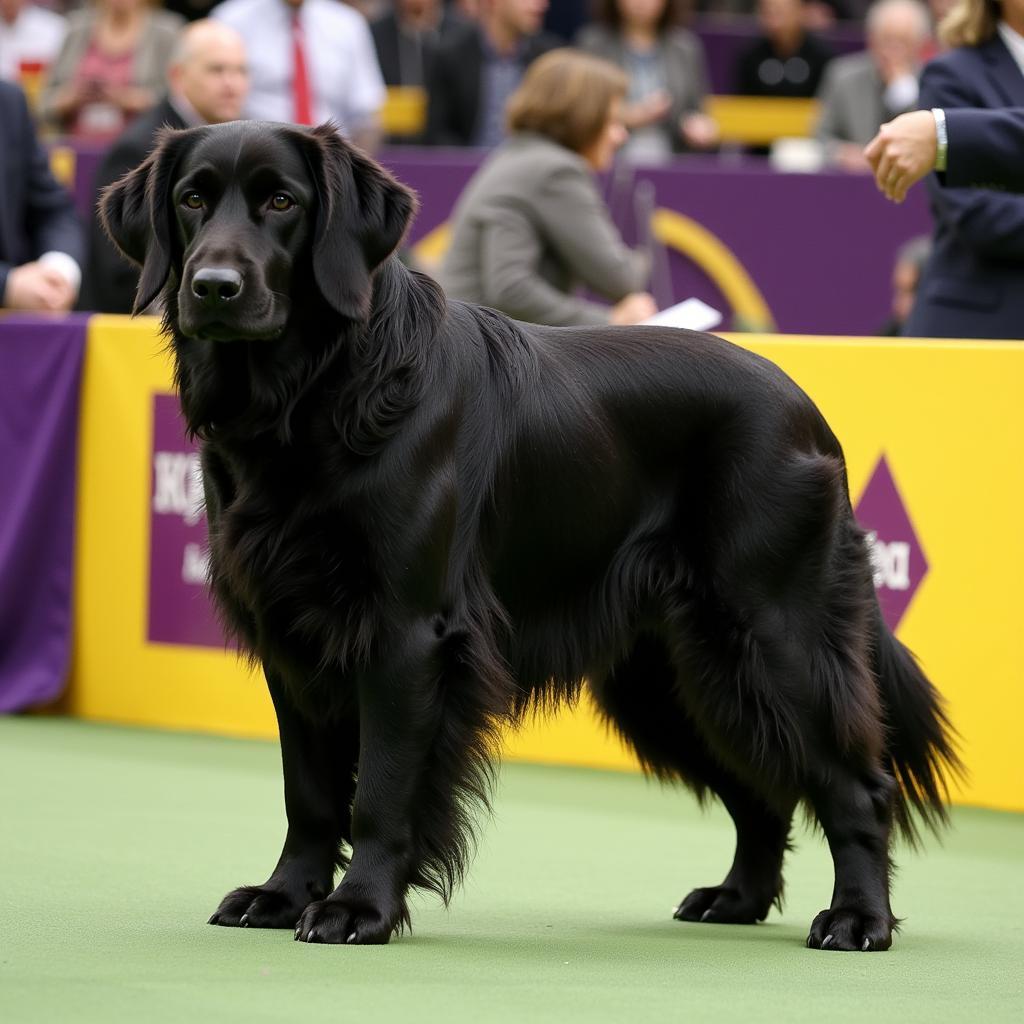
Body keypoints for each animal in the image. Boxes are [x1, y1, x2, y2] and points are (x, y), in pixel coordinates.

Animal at [101, 121, 958, 950]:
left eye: (282, 202)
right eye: (190, 199)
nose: (214, 287)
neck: (320, 391)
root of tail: (808, 412)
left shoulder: (407, 634)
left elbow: (381, 788)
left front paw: (357, 909)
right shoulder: (291, 633)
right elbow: (308, 791)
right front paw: (283, 896)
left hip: (771, 633)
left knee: (859, 786)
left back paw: (858, 919)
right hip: (672, 672)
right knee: (762, 790)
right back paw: (737, 899)